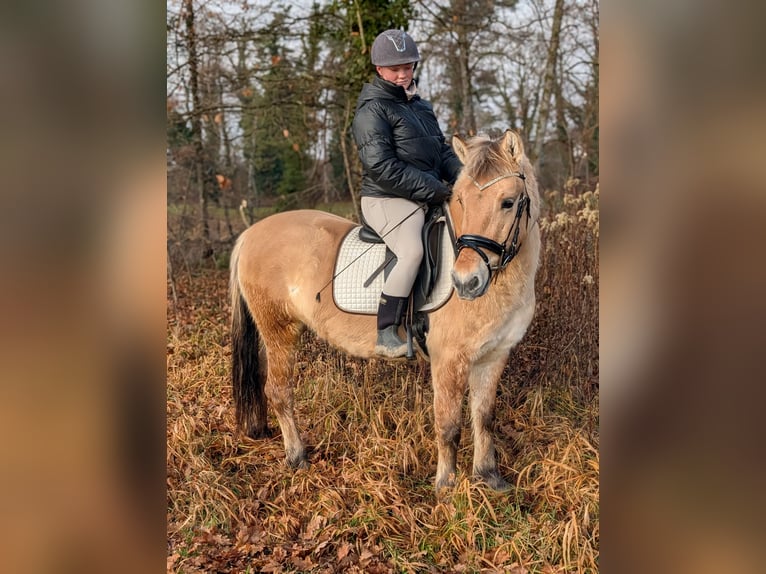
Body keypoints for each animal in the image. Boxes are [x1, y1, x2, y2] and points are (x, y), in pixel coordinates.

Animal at [229, 129, 541, 491]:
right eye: (461, 200)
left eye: (508, 202)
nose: (466, 282)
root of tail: (251, 233)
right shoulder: (449, 359)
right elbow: (449, 424)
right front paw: (446, 486)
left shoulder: (493, 356)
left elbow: (484, 417)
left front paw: (489, 477)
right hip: (279, 330)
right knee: (279, 392)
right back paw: (297, 458)